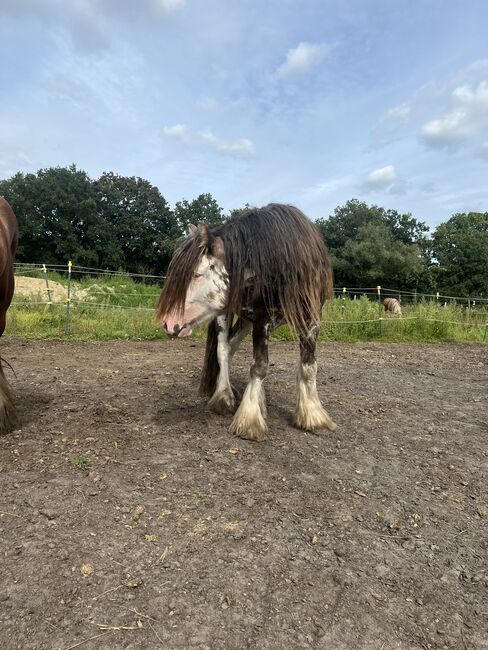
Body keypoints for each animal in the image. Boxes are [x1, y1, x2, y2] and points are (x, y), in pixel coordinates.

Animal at [156, 202, 336, 440]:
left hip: (248, 320)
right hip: (227, 314)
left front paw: (313, 415)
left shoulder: (310, 317)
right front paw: (249, 418)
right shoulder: (260, 318)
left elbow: (308, 365)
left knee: (232, 348)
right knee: (224, 350)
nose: (168, 323)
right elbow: (258, 366)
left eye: (196, 275)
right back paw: (225, 397)